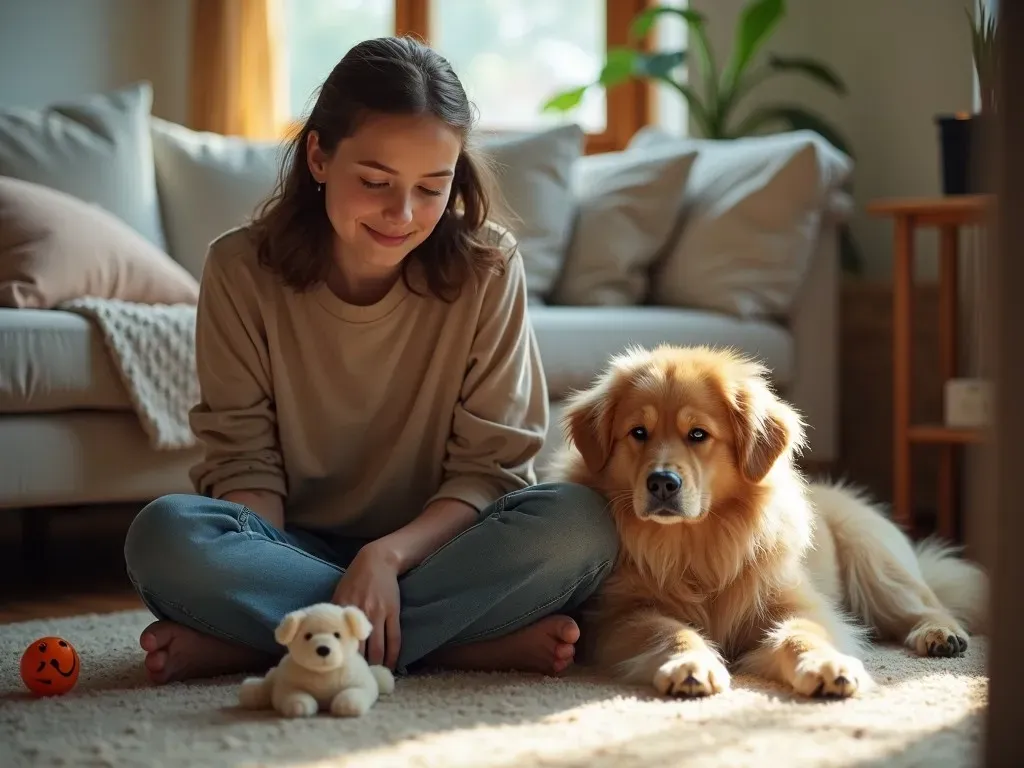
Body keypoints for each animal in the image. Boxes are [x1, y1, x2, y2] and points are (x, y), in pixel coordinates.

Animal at [548, 346, 987, 700]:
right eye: (638, 432)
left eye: (698, 434)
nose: (661, 483)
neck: (695, 544)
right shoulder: (619, 616)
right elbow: (669, 630)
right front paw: (691, 665)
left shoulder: (796, 603)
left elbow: (803, 634)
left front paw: (827, 666)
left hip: (874, 559)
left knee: (926, 604)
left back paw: (940, 634)